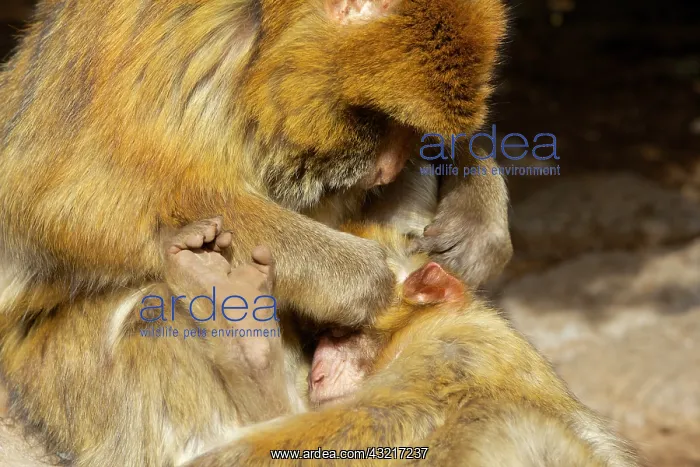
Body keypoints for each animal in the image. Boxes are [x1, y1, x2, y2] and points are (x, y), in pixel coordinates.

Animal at [0, 0, 513, 464]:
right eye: (386, 119)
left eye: (412, 126)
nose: (389, 168)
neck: (264, 47)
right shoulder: (183, 51)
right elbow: (66, 207)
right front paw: (357, 278)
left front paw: (475, 204)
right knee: (155, 304)